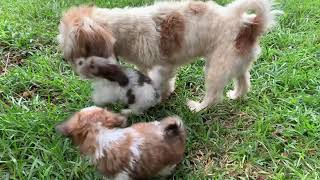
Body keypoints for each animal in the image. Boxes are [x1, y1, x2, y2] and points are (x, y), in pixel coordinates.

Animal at [58, 0, 282, 112]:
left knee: (213, 95)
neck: (124, 30)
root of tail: (248, 25)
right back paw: (236, 96)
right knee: (244, 81)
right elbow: (154, 79)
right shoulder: (150, 65)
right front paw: (165, 94)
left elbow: (157, 82)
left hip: (216, 68)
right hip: (235, 62)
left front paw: (152, 99)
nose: (65, 60)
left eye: (75, 53)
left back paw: (197, 108)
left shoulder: (163, 66)